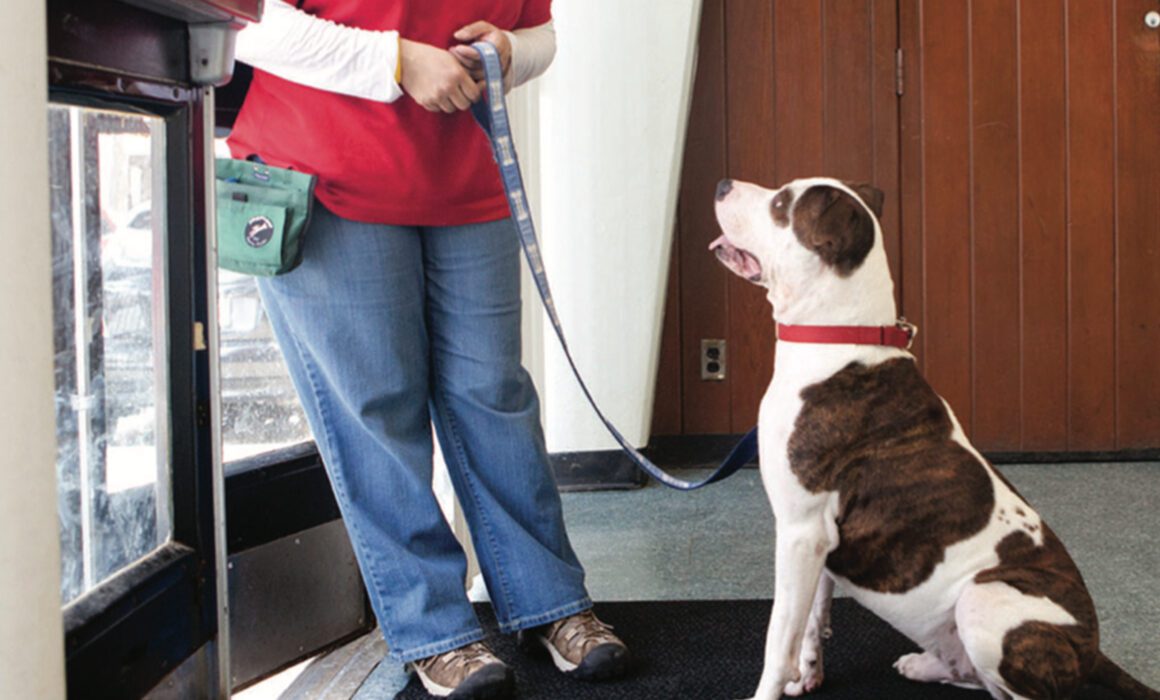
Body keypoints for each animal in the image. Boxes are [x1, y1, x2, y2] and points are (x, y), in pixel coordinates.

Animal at [709, 176, 1155, 700]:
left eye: (781, 203)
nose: (722, 184)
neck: (835, 336)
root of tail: (1092, 651)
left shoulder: (800, 532)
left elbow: (780, 635)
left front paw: (772, 688)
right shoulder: (818, 544)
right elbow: (813, 618)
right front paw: (809, 674)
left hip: (982, 598)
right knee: (974, 676)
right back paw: (924, 666)